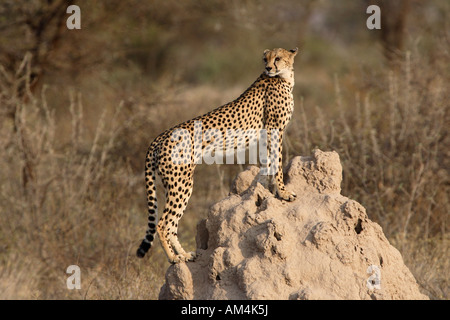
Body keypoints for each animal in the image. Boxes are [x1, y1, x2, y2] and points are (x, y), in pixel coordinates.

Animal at [137, 47, 298, 262]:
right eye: (266, 59)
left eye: (277, 58)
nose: (269, 68)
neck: (284, 77)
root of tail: (160, 136)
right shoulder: (275, 129)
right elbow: (278, 163)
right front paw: (284, 192)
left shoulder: (266, 133)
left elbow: (268, 164)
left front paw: (267, 188)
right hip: (181, 183)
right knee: (164, 224)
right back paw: (174, 259)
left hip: (174, 183)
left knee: (172, 224)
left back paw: (185, 255)